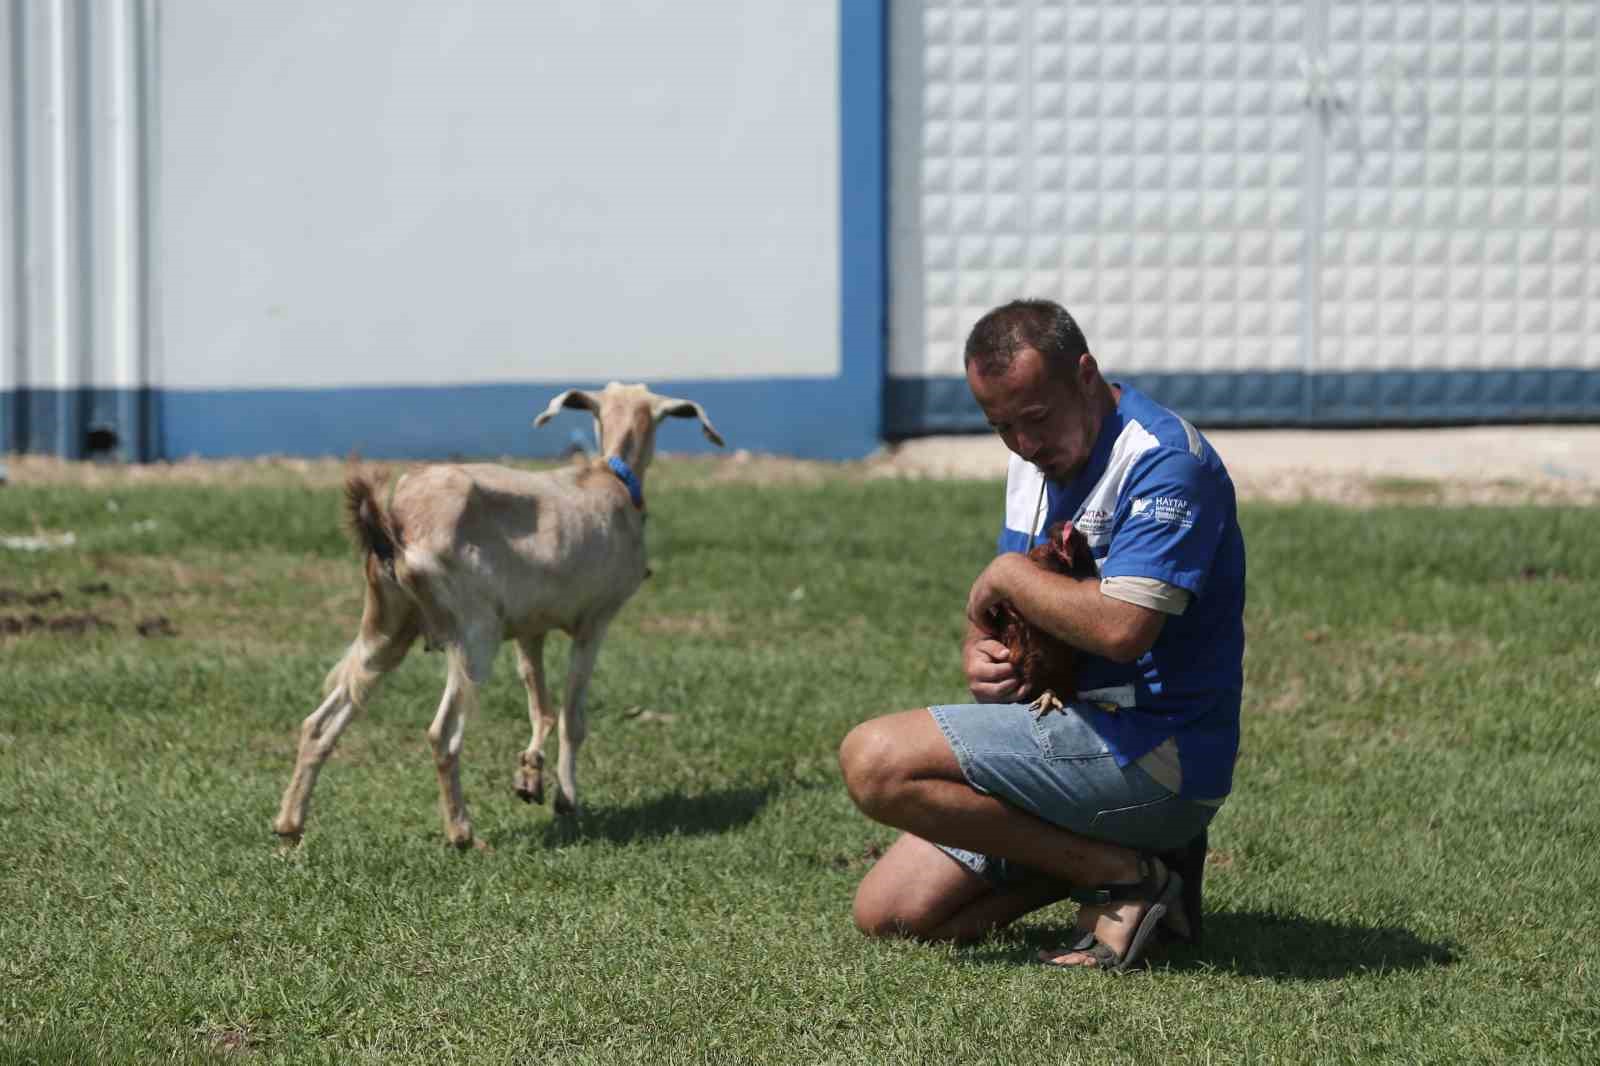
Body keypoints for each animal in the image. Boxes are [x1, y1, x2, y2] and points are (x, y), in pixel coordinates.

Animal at [273, 384, 726, 845]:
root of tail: (394, 523)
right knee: (442, 734)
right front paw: (566, 799)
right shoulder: (595, 620)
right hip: (476, 633)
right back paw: (463, 834)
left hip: (387, 626)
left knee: (320, 722)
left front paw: (530, 776)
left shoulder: (529, 627)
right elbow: (571, 715)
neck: (612, 479)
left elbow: (539, 702)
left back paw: (289, 826)